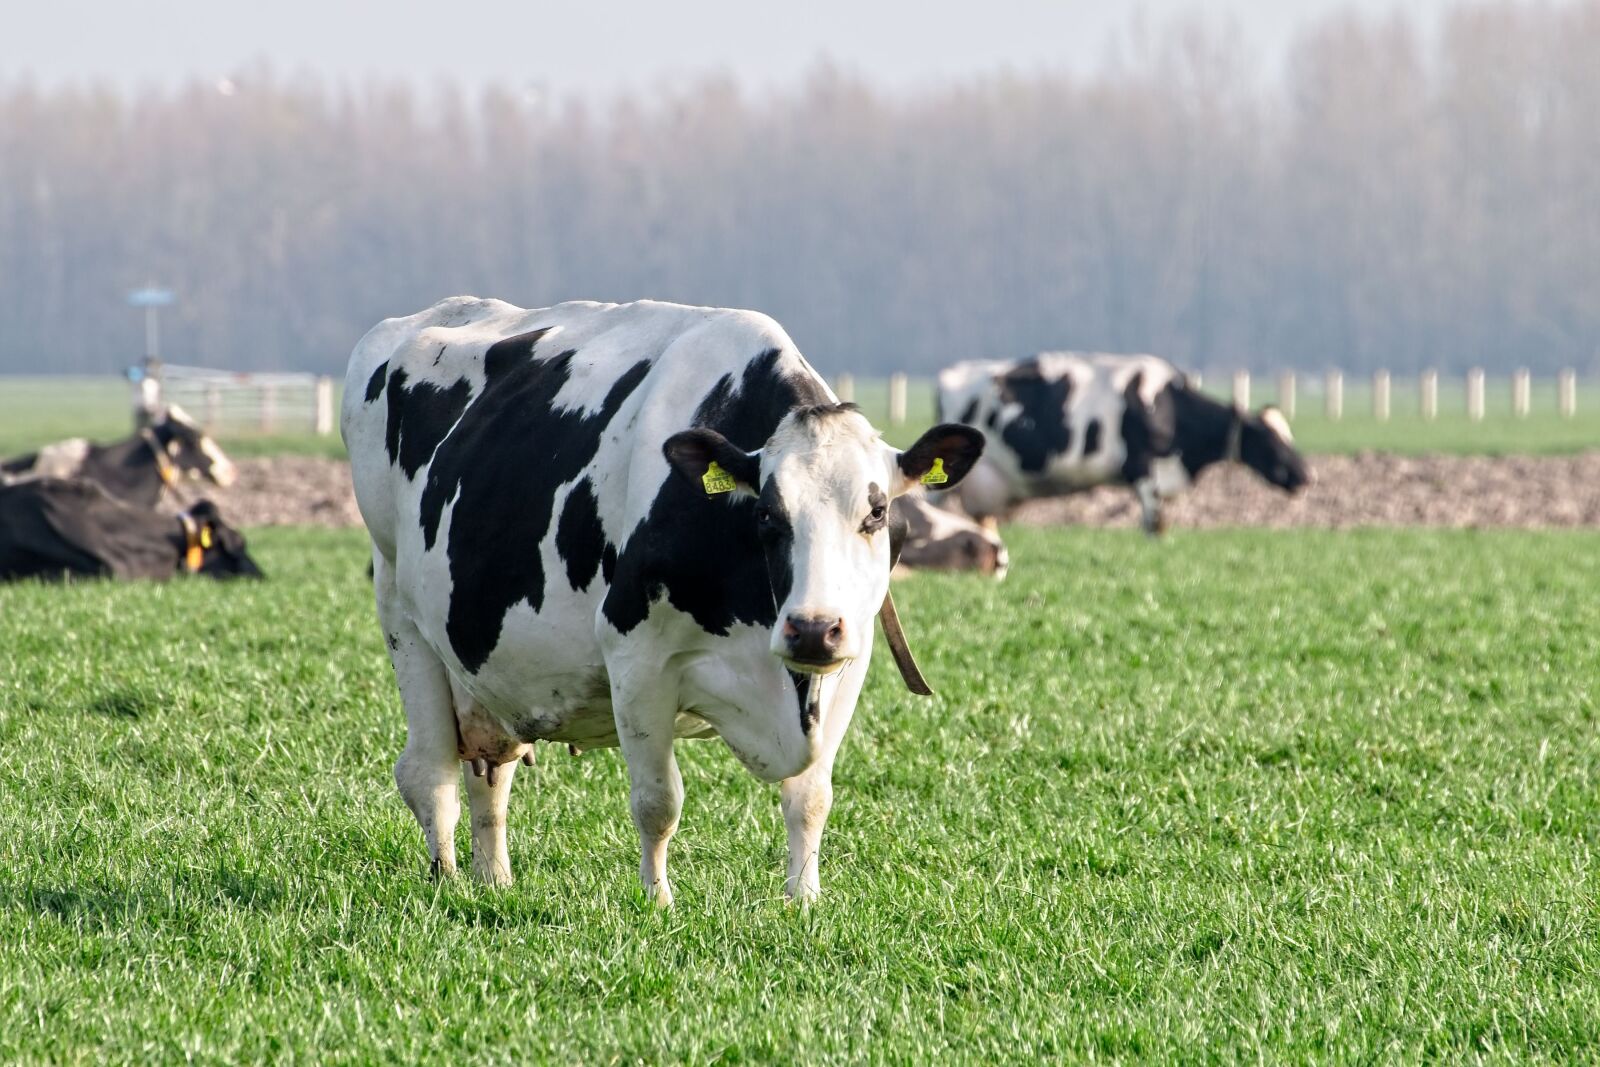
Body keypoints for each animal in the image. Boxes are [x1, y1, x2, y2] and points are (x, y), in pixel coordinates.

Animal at [344, 297, 984, 903]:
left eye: (876, 512)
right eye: (766, 515)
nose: (810, 629)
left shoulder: (850, 660)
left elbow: (810, 797)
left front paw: (803, 900)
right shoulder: (637, 657)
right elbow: (658, 802)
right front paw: (658, 901)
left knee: (489, 776)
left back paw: (494, 881)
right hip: (401, 613)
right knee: (429, 773)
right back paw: (446, 880)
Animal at [937, 354, 1310, 533]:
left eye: (1288, 435)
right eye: (1272, 440)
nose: (1307, 476)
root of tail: (950, 374)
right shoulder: (1142, 467)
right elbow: (1154, 524)